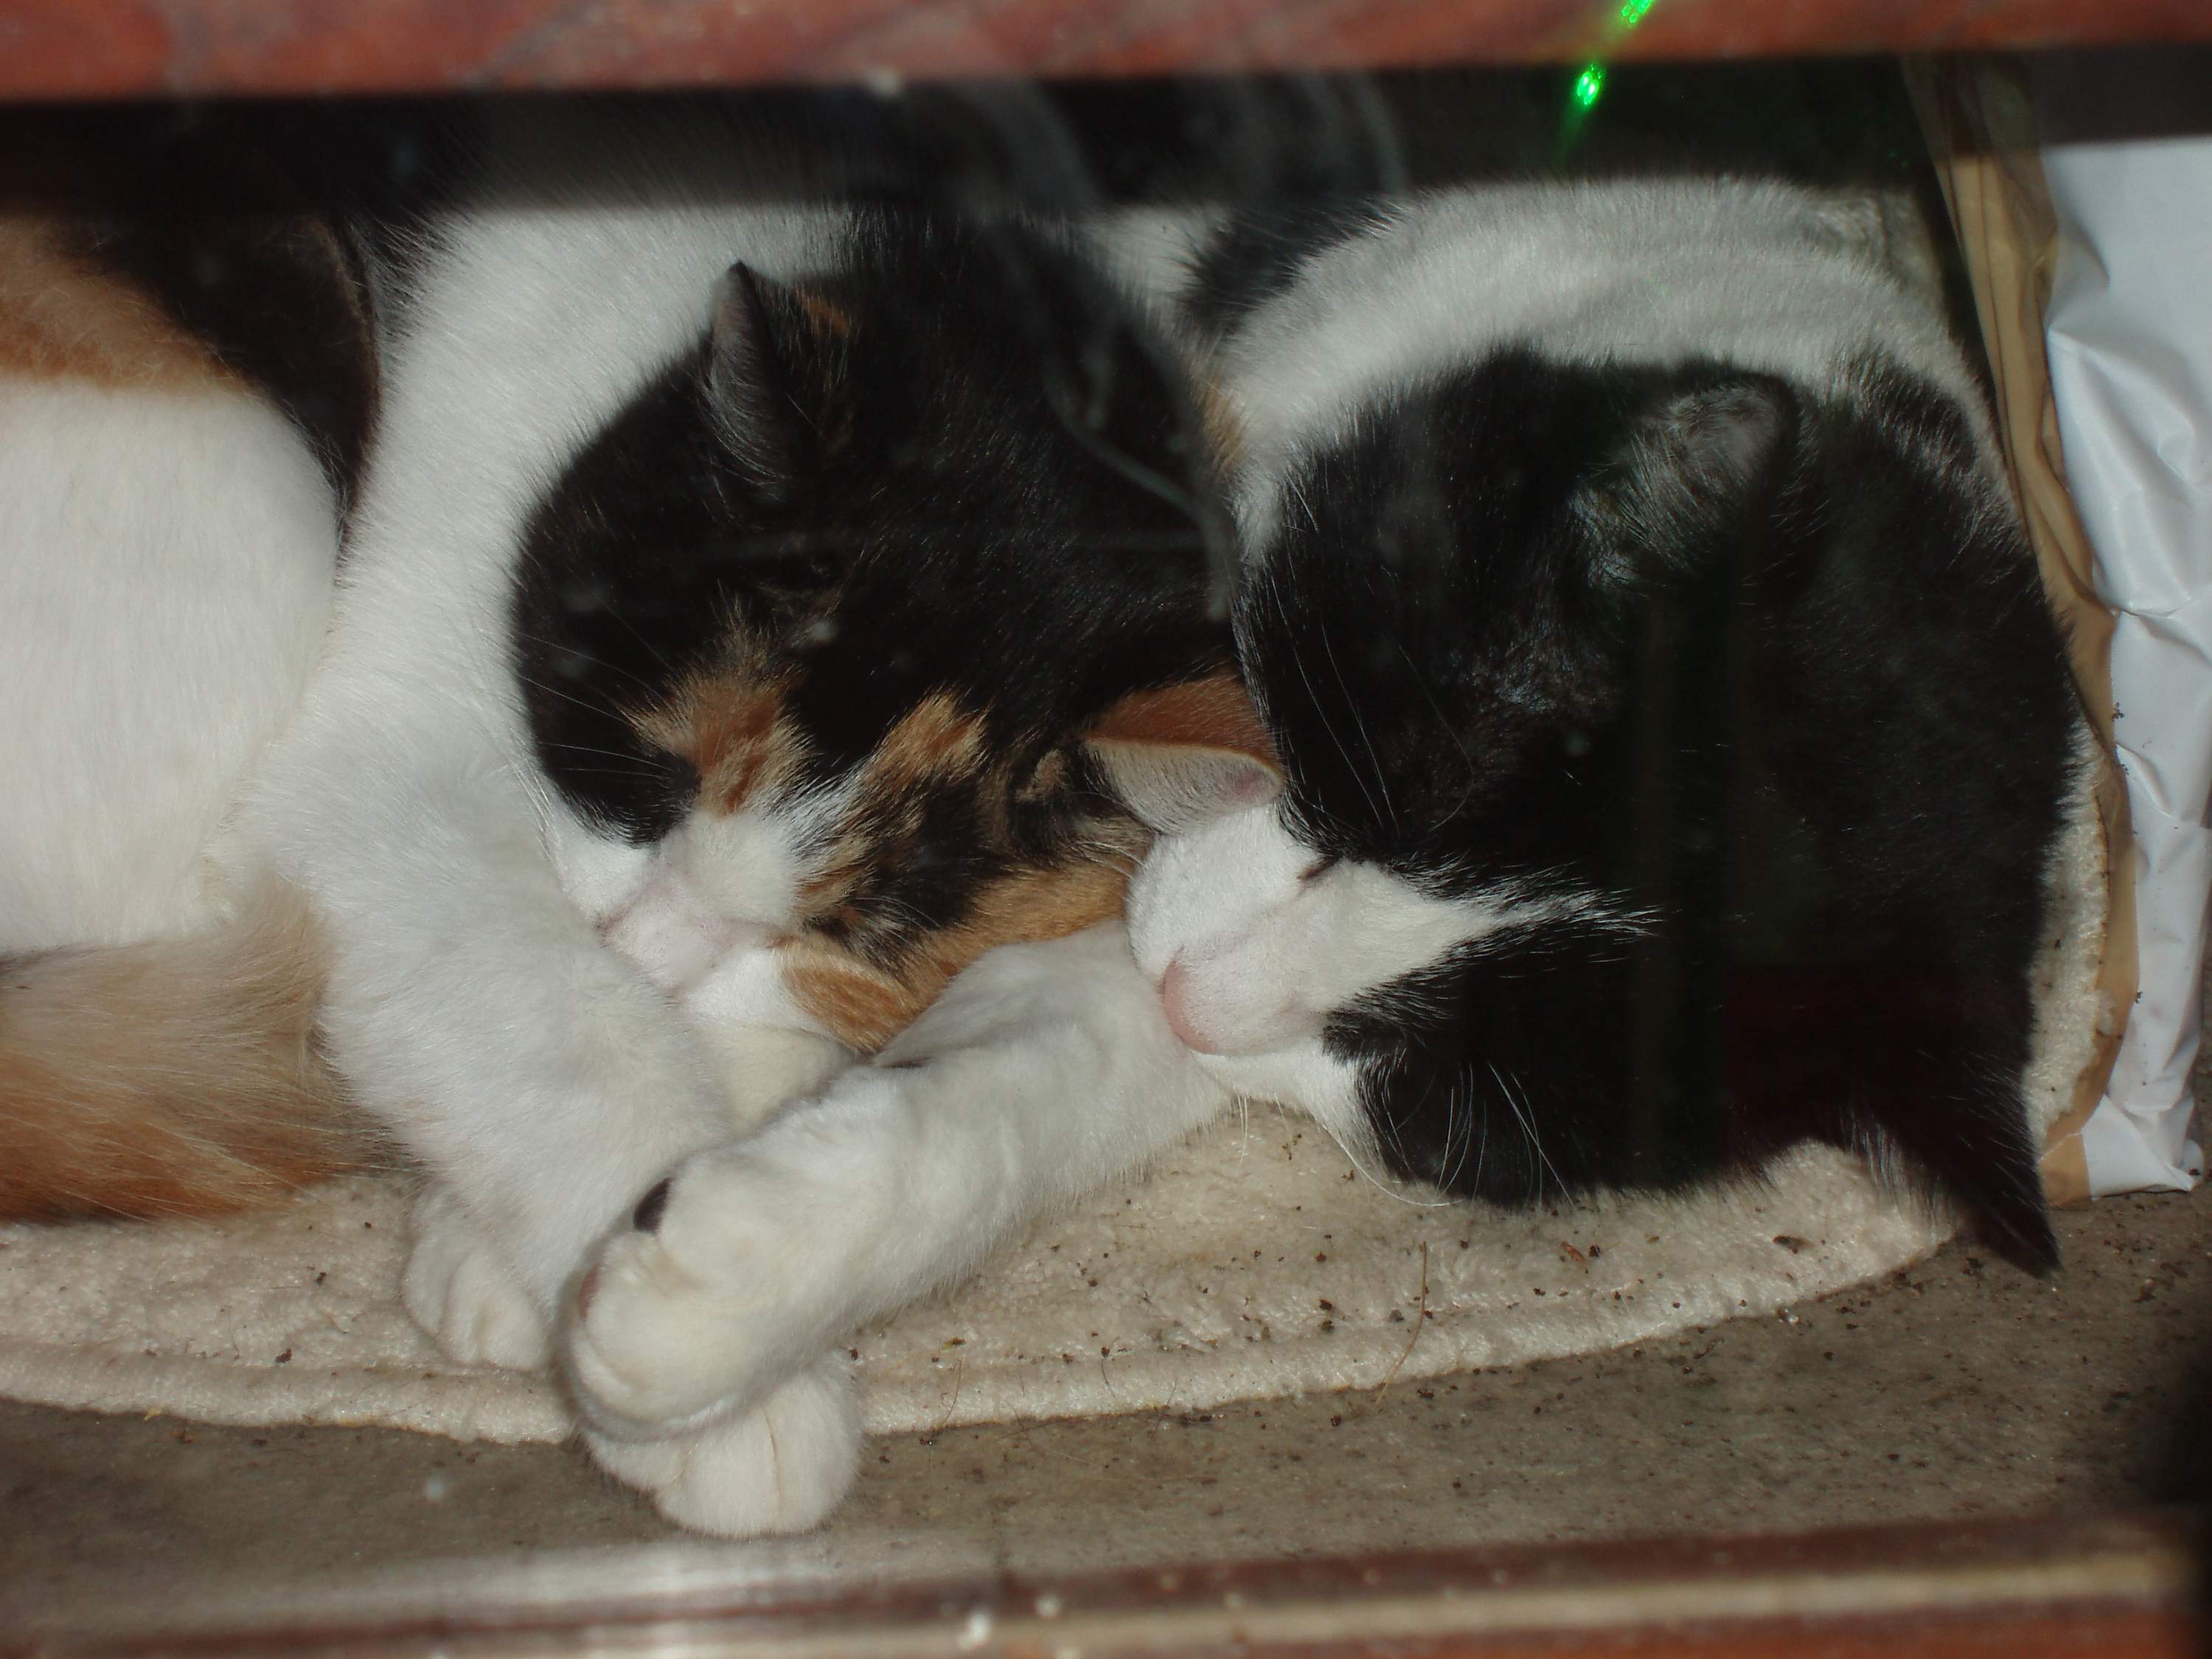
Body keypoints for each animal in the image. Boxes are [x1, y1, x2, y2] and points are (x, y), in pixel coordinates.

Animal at [0, 105, 1273, 1530]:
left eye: (842, 939)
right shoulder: (382, 764)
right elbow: (565, 1027)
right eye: (645, 771)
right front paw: (739, 1398)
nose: (632, 946)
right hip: (249, 497)